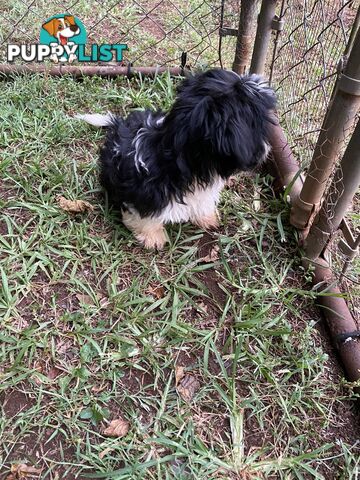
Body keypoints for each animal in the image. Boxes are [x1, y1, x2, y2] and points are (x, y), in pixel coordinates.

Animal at [76, 69, 276, 249]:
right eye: (260, 123)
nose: (267, 148)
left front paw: (206, 217)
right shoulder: (143, 193)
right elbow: (144, 215)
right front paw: (152, 236)